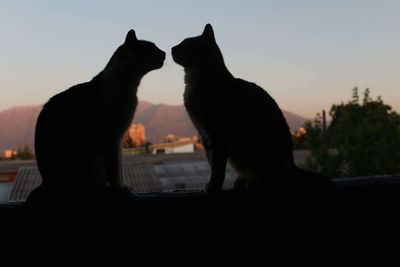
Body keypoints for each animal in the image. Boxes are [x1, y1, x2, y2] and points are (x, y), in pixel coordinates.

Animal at [28, 28, 165, 201]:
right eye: (152, 48)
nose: (164, 53)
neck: (130, 86)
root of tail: (45, 182)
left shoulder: (118, 138)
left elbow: (119, 166)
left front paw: (120, 187)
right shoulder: (112, 138)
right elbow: (115, 170)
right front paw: (120, 189)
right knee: (74, 190)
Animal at [172, 24, 332, 196]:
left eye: (184, 44)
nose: (172, 48)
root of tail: (292, 165)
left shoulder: (217, 136)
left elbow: (217, 167)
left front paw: (214, 186)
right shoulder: (205, 136)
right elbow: (211, 162)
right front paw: (211, 183)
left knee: (280, 179)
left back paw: (255, 182)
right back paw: (243, 180)